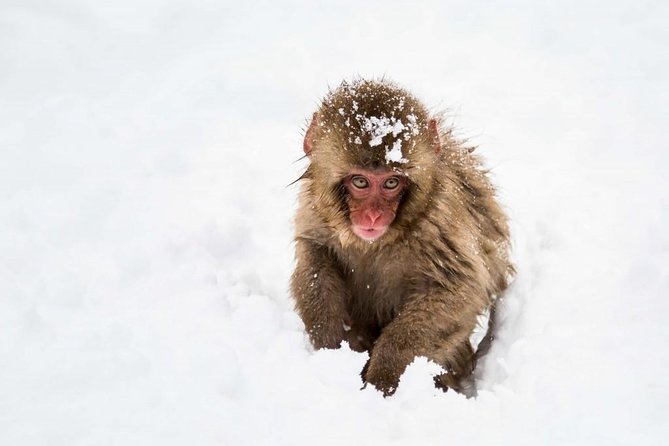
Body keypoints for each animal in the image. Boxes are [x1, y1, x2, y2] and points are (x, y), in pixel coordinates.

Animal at [290, 79, 513, 396]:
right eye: (361, 181)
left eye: (391, 183)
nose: (373, 216)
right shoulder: (316, 212)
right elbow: (316, 257)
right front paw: (329, 346)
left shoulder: (440, 223)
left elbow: (459, 290)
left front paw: (382, 377)